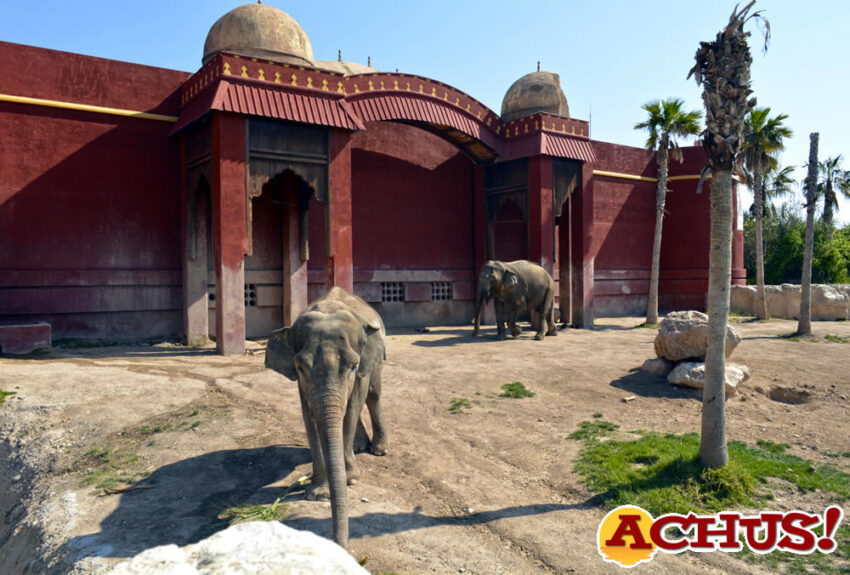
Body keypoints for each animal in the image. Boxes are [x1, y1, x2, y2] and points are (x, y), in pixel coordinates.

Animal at [264, 288, 388, 548]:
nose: (340, 545)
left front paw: (350, 480)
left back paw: (379, 450)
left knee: (373, 393)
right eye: (300, 368)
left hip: (378, 355)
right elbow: (309, 417)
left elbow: (351, 408)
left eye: (352, 366)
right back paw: (360, 447)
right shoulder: (301, 385)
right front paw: (319, 493)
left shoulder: (362, 367)